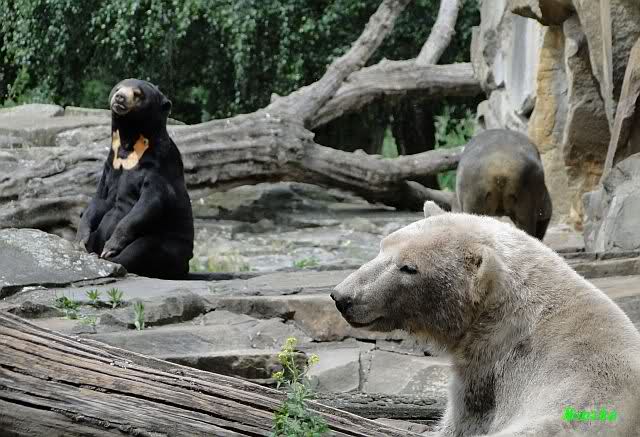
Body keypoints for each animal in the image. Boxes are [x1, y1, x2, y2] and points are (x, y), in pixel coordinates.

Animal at [76, 78, 194, 279]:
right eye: (118, 87)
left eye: (138, 94)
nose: (120, 97)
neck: (130, 144)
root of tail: (185, 266)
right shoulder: (111, 166)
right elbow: (99, 200)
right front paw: (80, 241)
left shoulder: (158, 167)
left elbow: (150, 202)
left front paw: (110, 247)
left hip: (171, 245)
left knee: (141, 249)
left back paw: (107, 258)